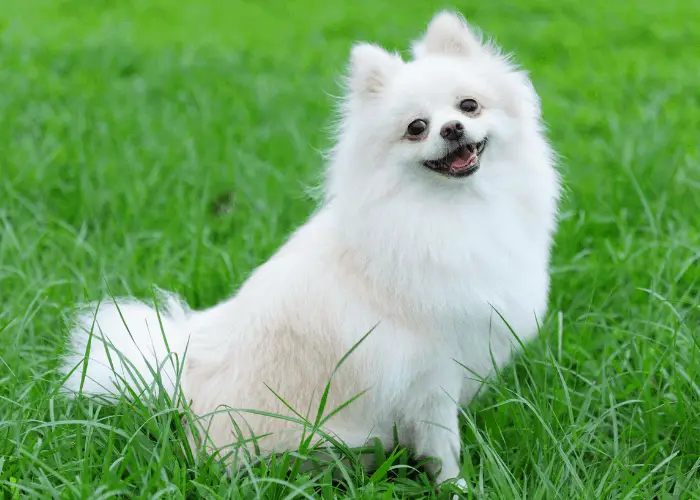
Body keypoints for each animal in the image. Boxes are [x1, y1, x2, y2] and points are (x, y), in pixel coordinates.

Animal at [61, 9, 564, 490]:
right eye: (417, 128)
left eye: (469, 105)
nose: (453, 128)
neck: (451, 210)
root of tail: (183, 383)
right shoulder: (431, 373)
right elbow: (443, 445)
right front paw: (456, 486)